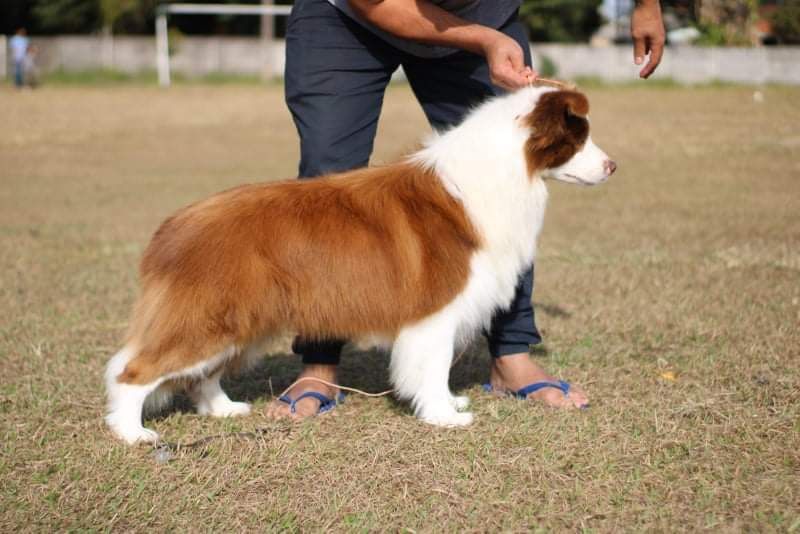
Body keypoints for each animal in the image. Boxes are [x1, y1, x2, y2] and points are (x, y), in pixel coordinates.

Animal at [105, 86, 615, 444]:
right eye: (579, 137)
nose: (612, 167)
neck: (503, 170)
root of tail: (173, 227)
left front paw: (449, 404)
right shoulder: (436, 311)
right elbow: (434, 366)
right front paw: (444, 416)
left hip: (239, 321)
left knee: (200, 375)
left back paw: (224, 410)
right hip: (209, 320)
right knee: (132, 371)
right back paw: (134, 434)